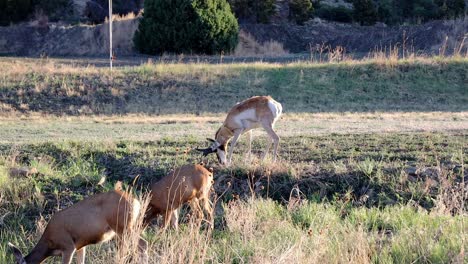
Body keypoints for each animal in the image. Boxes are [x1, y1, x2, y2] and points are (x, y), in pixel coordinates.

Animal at [8, 183, 148, 264]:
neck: (50, 243)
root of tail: (136, 202)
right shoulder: (80, 246)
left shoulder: (68, 246)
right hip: (126, 228)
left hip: (122, 227)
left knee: (142, 244)